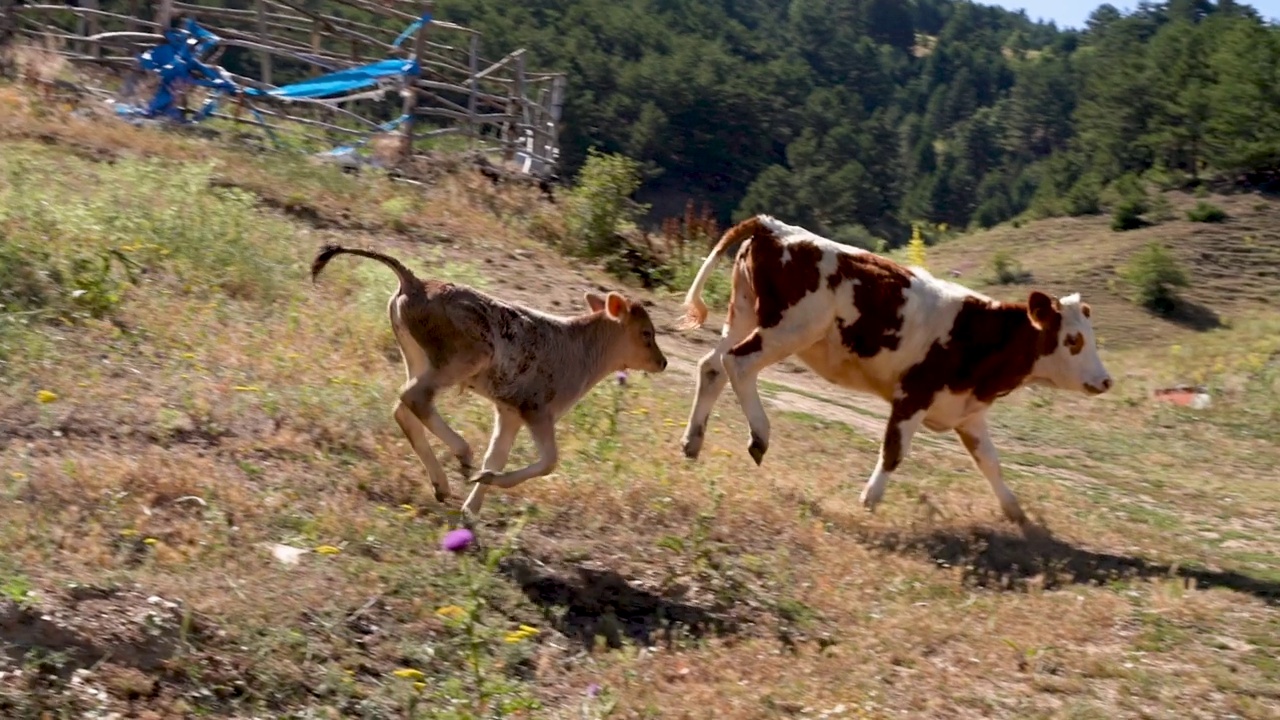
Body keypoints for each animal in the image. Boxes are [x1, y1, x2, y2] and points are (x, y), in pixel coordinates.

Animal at [680, 212, 1111, 520]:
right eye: (1074, 341)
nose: (1106, 381)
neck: (980, 333)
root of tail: (773, 227)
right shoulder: (913, 395)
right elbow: (894, 451)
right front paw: (870, 499)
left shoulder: (966, 412)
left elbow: (990, 462)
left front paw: (1017, 514)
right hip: (787, 329)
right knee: (739, 364)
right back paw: (759, 435)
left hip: (743, 315)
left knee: (712, 366)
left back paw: (692, 442)